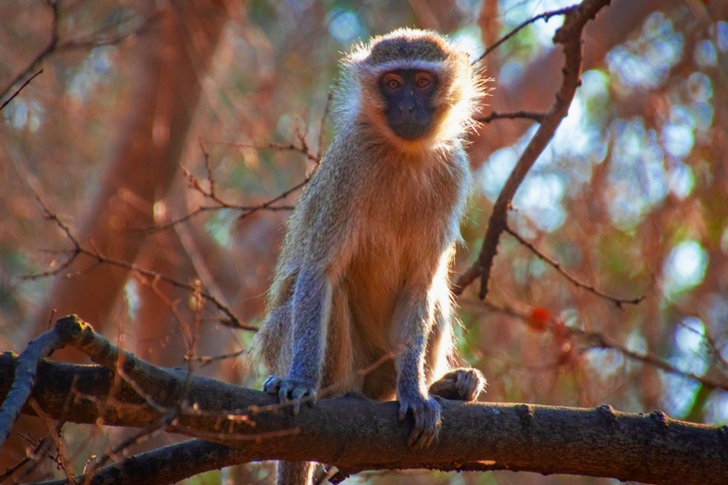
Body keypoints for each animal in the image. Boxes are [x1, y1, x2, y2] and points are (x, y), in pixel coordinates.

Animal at [252, 28, 487, 485]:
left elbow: (420, 287)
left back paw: (442, 387)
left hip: (382, 371)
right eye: (392, 84)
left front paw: (415, 394)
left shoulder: (453, 171)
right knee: (331, 291)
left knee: (435, 299)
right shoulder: (350, 164)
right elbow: (319, 273)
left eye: (423, 82)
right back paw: (330, 391)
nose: (409, 107)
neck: (403, 155)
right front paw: (299, 382)